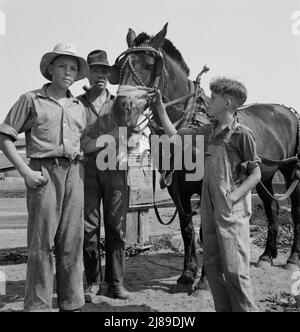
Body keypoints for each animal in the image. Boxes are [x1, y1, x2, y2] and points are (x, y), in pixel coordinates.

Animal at [109, 23, 300, 286]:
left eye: (148, 65)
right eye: (121, 68)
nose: (121, 108)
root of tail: (287, 111)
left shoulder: (206, 184)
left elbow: (204, 230)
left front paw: (206, 279)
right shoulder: (175, 186)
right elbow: (187, 228)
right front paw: (188, 273)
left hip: (291, 170)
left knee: (296, 210)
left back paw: (292, 257)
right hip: (265, 175)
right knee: (272, 206)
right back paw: (267, 255)